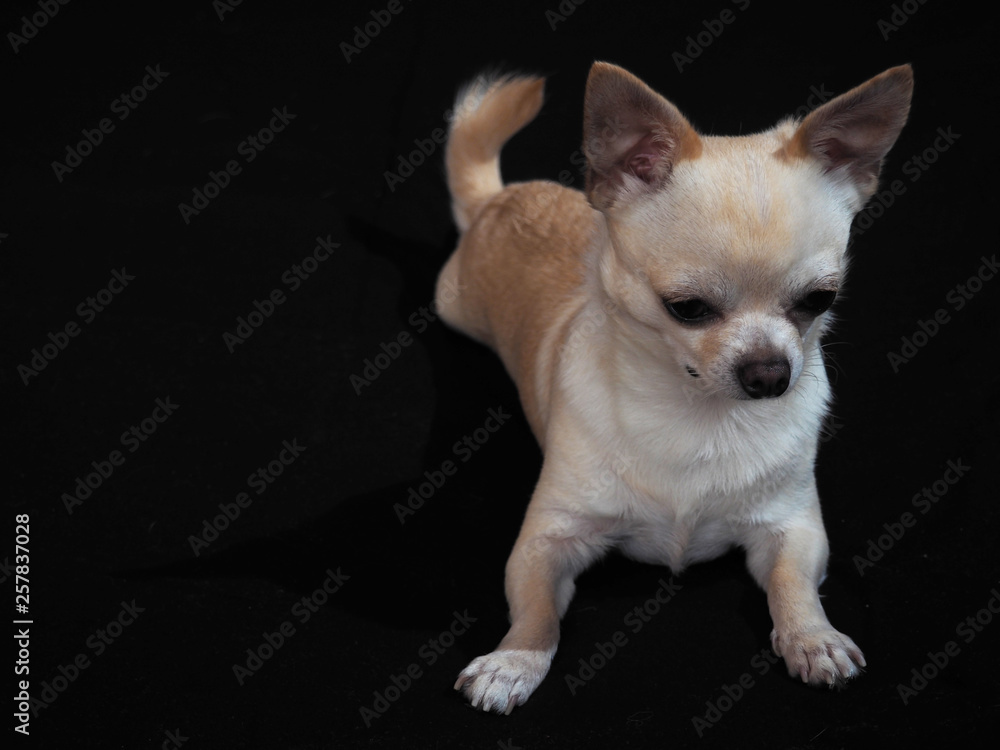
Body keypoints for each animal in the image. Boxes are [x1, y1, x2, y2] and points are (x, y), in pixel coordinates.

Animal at [438, 61, 916, 712]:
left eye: (820, 300)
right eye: (686, 309)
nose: (770, 373)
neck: (698, 416)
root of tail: (498, 198)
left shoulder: (793, 528)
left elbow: (793, 585)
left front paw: (812, 638)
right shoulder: (547, 538)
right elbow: (535, 610)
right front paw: (513, 661)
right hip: (450, 305)